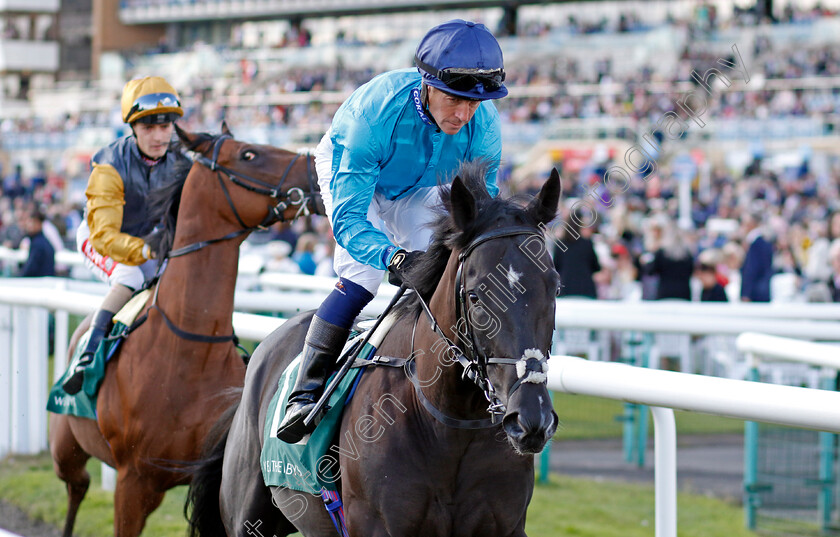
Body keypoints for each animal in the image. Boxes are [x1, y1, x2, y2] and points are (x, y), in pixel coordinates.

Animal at [47, 122, 322, 536]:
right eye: (248, 154)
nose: (318, 171)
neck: (191, 348)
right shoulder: (134, 481)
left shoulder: (208, 474)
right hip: (67, 448)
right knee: (76, 486)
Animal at [187, 162, 560, 536]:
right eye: (475, 296)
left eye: (555, 288)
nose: (532, 418)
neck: (448, 427)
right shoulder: (374, 525)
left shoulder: (506, 526)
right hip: (248, 516)